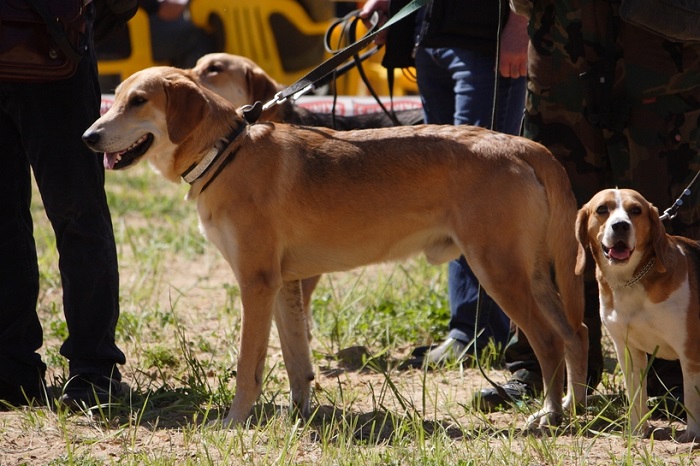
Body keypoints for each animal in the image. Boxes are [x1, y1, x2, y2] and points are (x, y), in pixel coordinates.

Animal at [82, 65, 588, 430]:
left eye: (139, 101)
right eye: (117, 97)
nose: (88, 137)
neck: (226, 152)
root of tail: (523, 146)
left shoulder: (256, 284)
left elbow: (249, 366)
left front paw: (233, 421)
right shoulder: (285, 285)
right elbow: (297, 363)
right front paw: (299, 417)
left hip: (499, 272)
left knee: (548, 342)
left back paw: (548, 416)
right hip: (535, 275)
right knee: (576, 334)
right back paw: (575, 408)